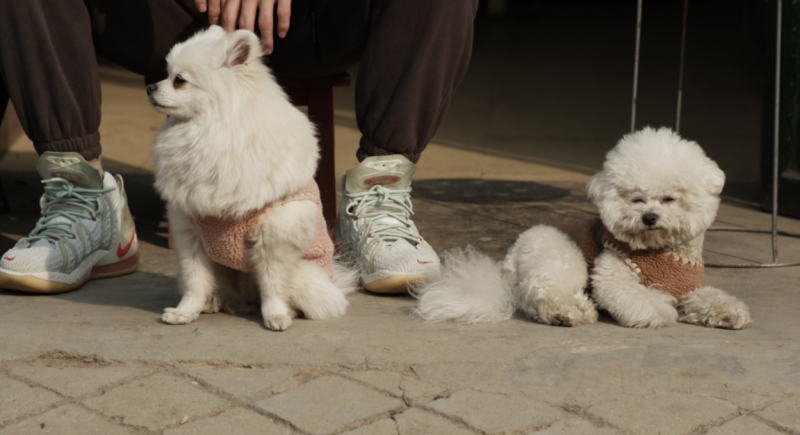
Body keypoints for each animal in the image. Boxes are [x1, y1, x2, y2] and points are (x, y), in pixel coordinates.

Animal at [146, 26, 356, 330]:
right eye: (166, 74)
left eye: (179, 81)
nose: (150, 86)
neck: (208, 129)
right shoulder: (190, 231)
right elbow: (195, 281)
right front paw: (185, 312)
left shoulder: (274, 238)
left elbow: (271, 284)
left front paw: (276, 315)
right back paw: (213, 303)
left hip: (304, 274)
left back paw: (286, 311)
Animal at [412, 129, 752, 330]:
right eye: (636, 199)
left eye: (669, 199)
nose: (649, 217)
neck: (662, 252)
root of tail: (506, 263)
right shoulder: (613, 271)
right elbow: (639, 298)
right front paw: (660, 312)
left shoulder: (688, 288)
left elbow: (710, 298)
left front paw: (727, 313)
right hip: (562, 258)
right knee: (542, 295)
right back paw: (567, 313)